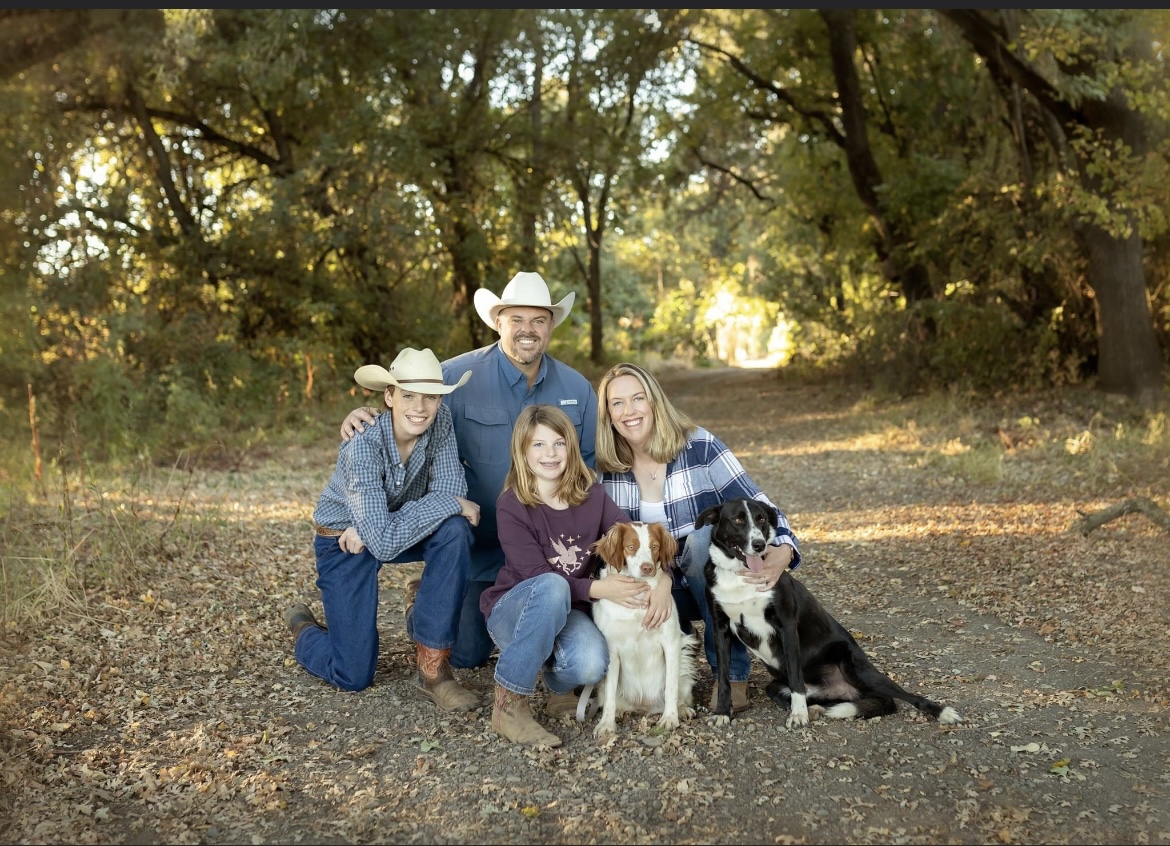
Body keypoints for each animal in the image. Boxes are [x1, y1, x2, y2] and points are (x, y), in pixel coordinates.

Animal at [589, 521, 697, 734]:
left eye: (654, 547)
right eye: (631, 547)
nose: (647, 568)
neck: (638, 597)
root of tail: (644, 707)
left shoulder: (671, 643)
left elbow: (670, 687)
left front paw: (670, 717)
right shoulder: (611, 650)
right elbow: (610, 696)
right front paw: (606, 724)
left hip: (684, 673)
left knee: (680, 693)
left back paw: (681, 710)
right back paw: (619, 712)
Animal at [697, 500, 964, 730]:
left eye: (761, 519)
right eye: (738, 520)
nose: (759, 544)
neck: (739, 576)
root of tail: (847, 690)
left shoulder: (786, 625)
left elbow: (796, 677)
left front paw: (798, 716)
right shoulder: (720, 629)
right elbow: (724, 679)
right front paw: (722, 713)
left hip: (859, 670)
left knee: (906, 696)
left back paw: (944, 712)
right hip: (777, 687)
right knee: (820, 699)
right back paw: (817, 709)